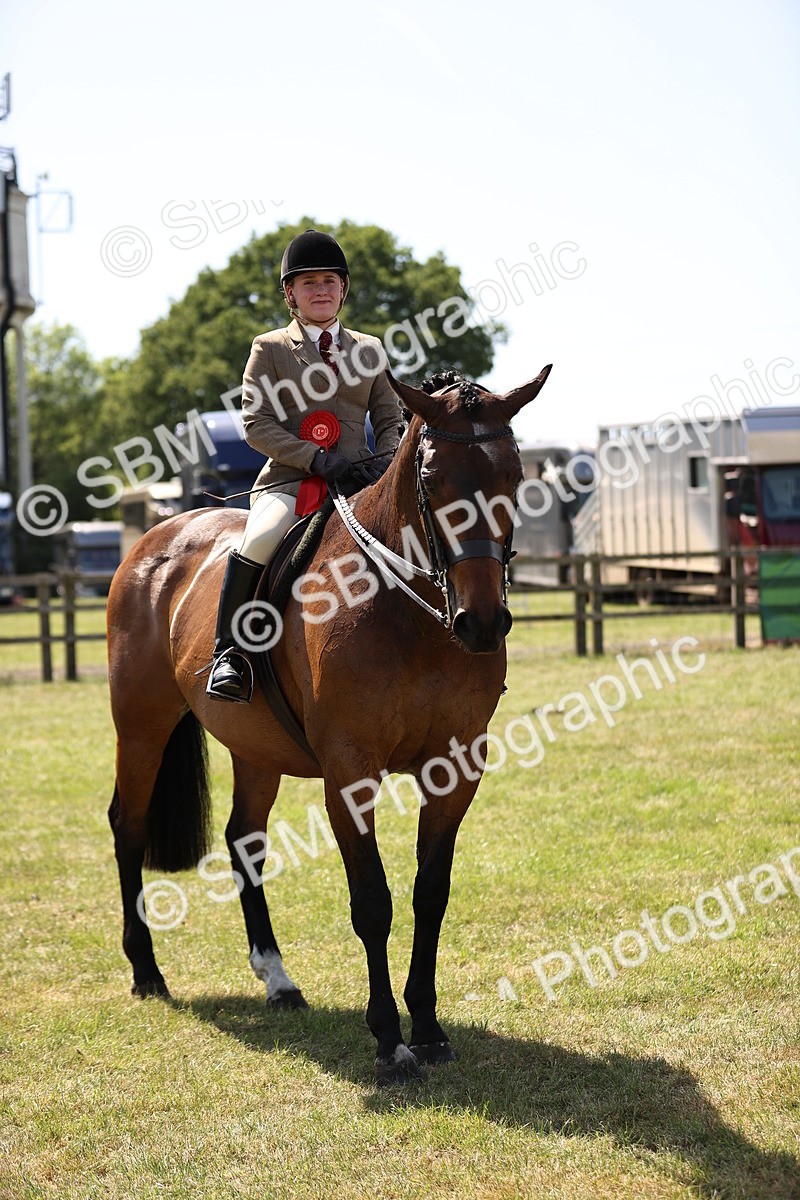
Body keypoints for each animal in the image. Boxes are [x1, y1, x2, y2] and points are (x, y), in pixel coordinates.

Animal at [106, 365, 551, 1085]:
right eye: (432, 478)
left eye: (513, 474)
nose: (482, 623)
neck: (411, 611)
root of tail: (160, 536)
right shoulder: (349, 771)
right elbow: (373, 902)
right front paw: (390, 1040)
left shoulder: (456, 767)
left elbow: (431, 893)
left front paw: (428, 1028)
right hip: (142, 724)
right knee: (130, 827)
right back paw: (147, 972)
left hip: (254, 745)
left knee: (244, 840)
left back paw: (277, 979)